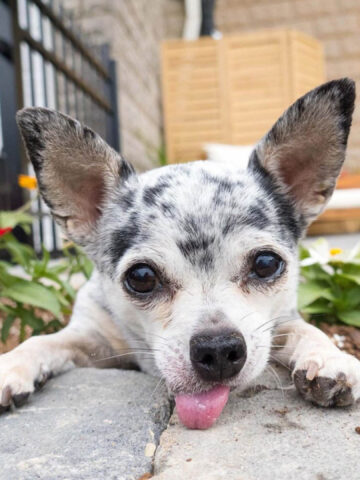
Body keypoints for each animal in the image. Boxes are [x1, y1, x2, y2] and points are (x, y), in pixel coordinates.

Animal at [1, 79, 358, 432]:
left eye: (266, 264)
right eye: (141, 277)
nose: (218, 349)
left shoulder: (279, 322)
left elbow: (304, 328)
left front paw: (329, 358)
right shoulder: (90, 337)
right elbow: (42, 340)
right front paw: (11, 366)